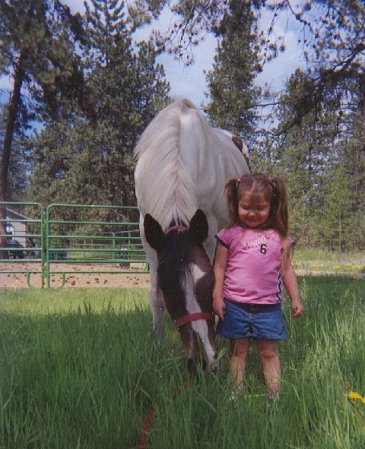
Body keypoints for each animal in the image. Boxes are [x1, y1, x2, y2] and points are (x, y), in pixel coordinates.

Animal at [134, 99, 250, 374]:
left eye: (207, 285)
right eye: (170, 290)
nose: (204, 362)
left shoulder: (210, 229)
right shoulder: (147, 231)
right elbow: (154, 297)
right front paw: (157, 350)